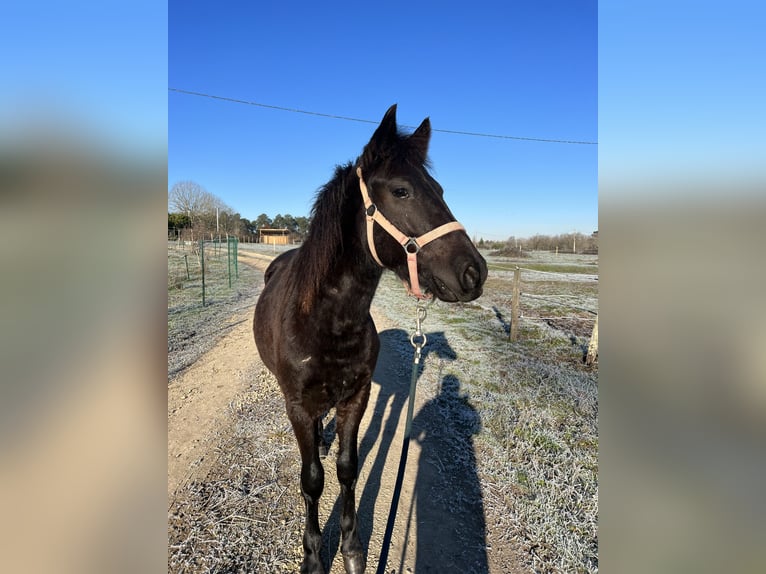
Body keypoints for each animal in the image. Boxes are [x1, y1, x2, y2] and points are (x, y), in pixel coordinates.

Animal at [255, 104, 488, 574]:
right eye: (401, 191)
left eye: (439, 189)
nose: (475, 273)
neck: (328, 321)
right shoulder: (298, 405)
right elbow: (312, 480)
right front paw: (313, 555)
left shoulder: (356, 397)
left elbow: (348, 469)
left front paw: (351, 549)